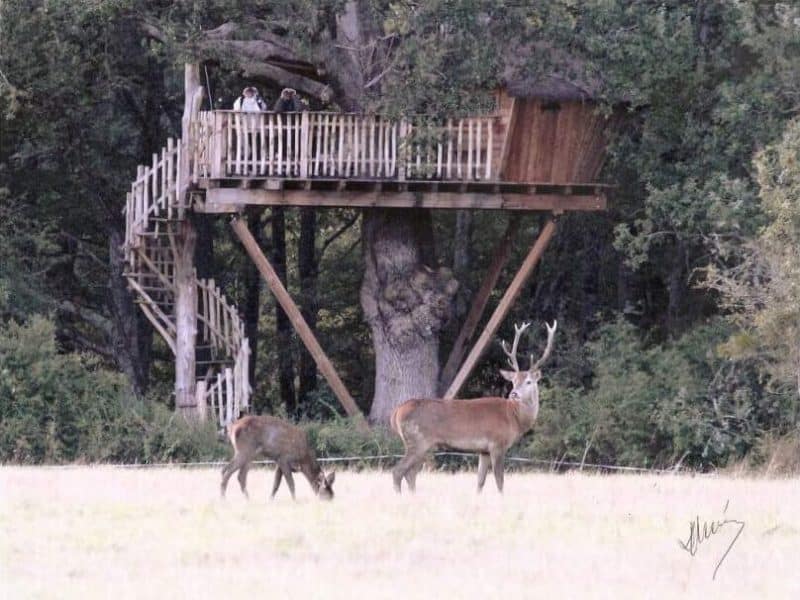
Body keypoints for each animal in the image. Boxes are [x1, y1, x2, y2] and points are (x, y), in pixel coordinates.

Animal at [390, 320, 557, 494]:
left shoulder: (483, 450)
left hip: (421, 444)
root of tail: (397, 412)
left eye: (528, 381)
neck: (514, 418)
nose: (514, 393)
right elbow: (500, 481)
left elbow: (480, 481)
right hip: (418, 440)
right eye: (513, 381)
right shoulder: (497, 443)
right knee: (398, 471)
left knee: (410, 474)